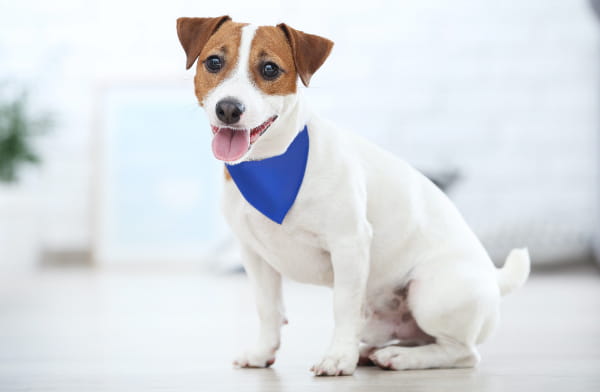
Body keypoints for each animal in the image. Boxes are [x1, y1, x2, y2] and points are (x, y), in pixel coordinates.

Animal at [177, 16, 528, 376]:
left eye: (270, 69)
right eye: (214, 62)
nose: (228, 109)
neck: (270, 163)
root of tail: (495, 280)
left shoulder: (349, 245)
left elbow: (343, 307)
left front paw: (338, 358)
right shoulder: (256, 255)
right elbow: (268, 308)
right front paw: (263, 352)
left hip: (433, 293)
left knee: (461, 352)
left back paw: (401, 358)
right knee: (418, 338)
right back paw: (371, 351)